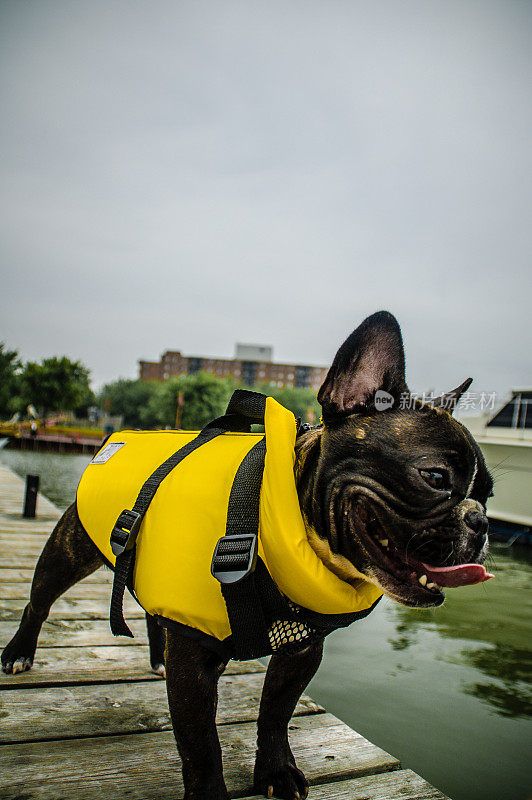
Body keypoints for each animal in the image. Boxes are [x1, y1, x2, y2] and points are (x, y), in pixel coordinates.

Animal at [1, 312, 494, 800]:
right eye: (435, 477)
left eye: (488, 494)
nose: (481, 521)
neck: (279, 524)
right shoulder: (195, 666)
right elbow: (201, 745)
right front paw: (211, 793)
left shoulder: (301, 651)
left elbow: (275, 714)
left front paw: (276, 771)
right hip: (70, 549)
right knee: (39, 600)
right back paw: (19, 652)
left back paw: (157, 655)